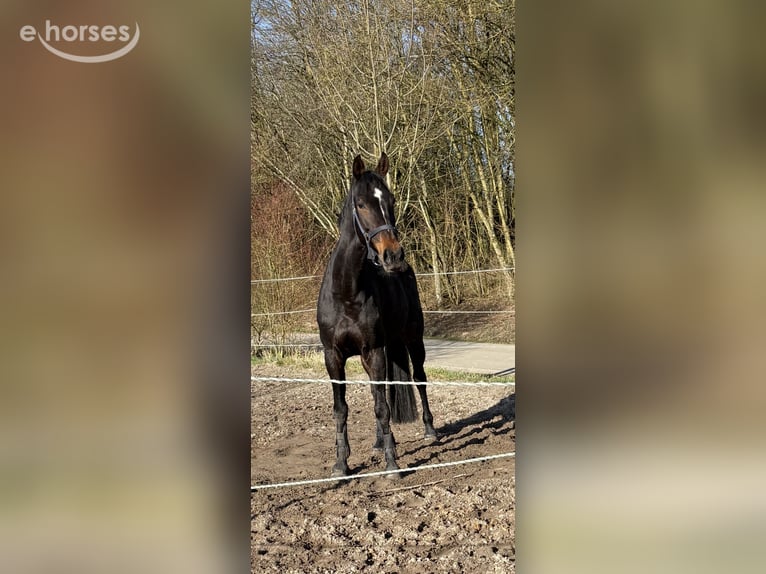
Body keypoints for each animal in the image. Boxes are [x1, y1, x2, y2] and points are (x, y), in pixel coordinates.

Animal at [317, 152, 437, 479]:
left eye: (391, 200)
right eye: (360, 203)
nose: (393, 255)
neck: (346, 293)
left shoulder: (373, 350)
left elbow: (382, 407)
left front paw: (392, 464)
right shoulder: (333, 356)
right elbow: (342, 409)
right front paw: (341, 464)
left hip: (412, 341)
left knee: (418, 379)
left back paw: (429, 430)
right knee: (379, 392)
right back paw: (379, 441)